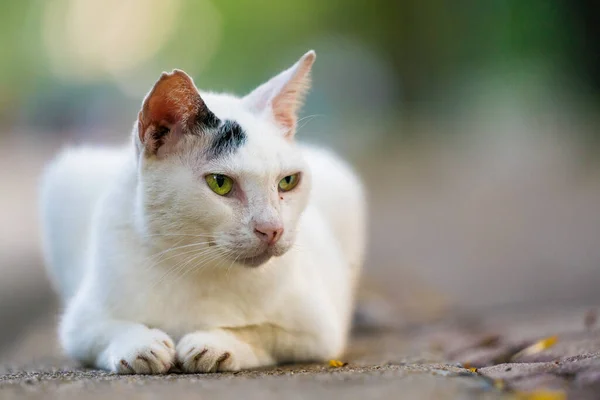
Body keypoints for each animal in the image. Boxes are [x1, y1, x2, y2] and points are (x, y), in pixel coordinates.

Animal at [39, 50, 366, 376]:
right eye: (220, 183)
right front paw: (141, 346)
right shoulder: (80, 322)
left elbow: (261, 331)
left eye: (288, 181)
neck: (195, 265)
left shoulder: (318, 329)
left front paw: (214, 344)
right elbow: (105, 329)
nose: (272, 229)